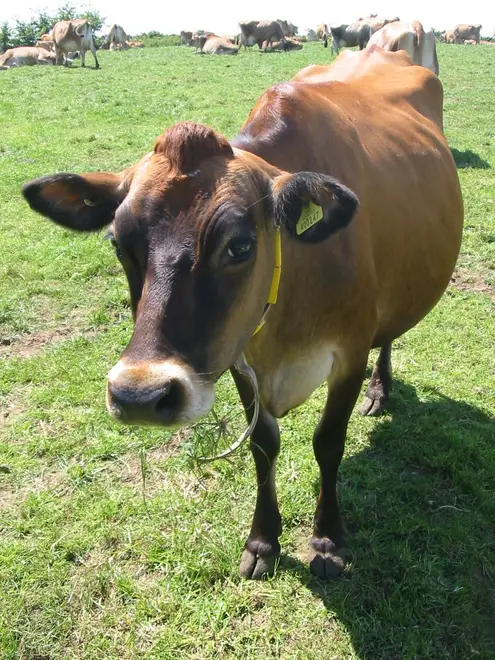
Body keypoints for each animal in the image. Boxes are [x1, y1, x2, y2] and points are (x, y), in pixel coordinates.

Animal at [22, 46, 463, 581]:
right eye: (118, 243)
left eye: (239, 246)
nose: (140, 396)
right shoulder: (235, 356)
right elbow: (262, 444)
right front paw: (263, 540)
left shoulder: (350, 351)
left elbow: (328, 441)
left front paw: (328, 538)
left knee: (391, 332)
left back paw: (381, 388)